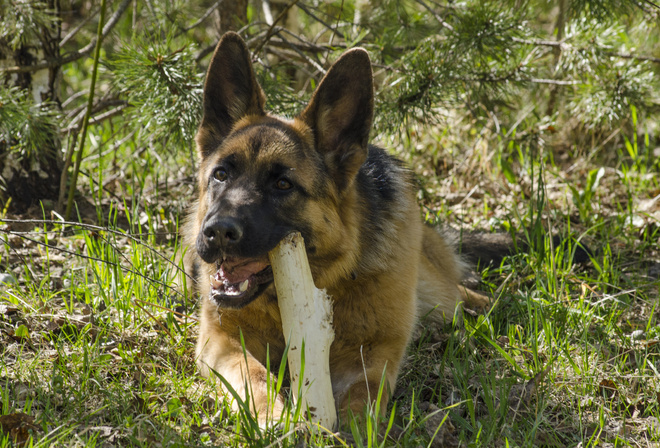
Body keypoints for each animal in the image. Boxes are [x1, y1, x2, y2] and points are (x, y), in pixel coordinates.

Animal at [182, 32, 490, 428]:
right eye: (221, 174)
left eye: (283, 184)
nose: (218, 232)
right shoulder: (222, 341)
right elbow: (253, 375)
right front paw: (275, 418)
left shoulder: (373, 353)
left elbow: (365, 393)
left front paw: (354, 430)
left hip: (442, 300)